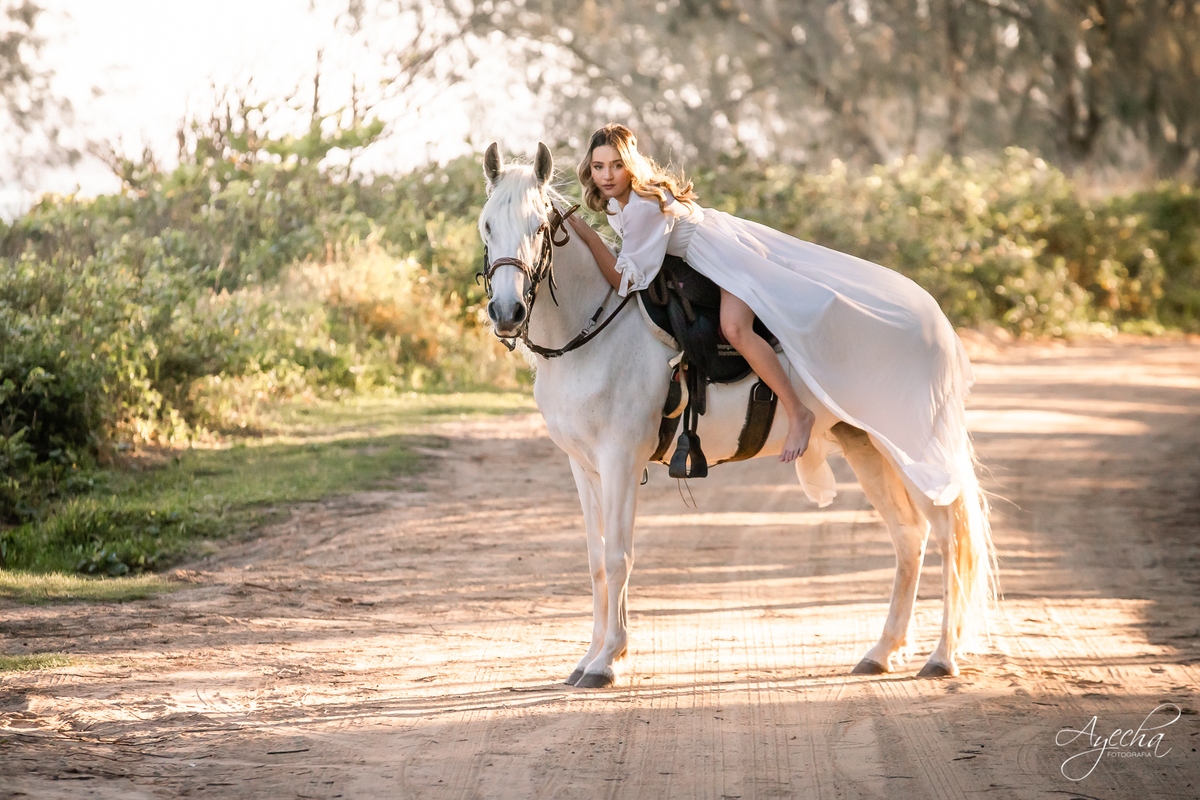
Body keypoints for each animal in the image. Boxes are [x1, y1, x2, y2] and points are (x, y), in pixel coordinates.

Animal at [477, 142, 995, 688]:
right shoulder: (584, 466)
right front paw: (591, 657)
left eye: (538, 227)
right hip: (865, 445)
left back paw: (942, 657)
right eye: (487, 225)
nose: (507, 313)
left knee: (948, 538)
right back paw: (881, 651)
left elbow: (619, 557)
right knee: (908, 537)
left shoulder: (620, 460)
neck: (592, 334)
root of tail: (933, 317)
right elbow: (597, 560)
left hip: (914, 451)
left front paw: (606, 662)